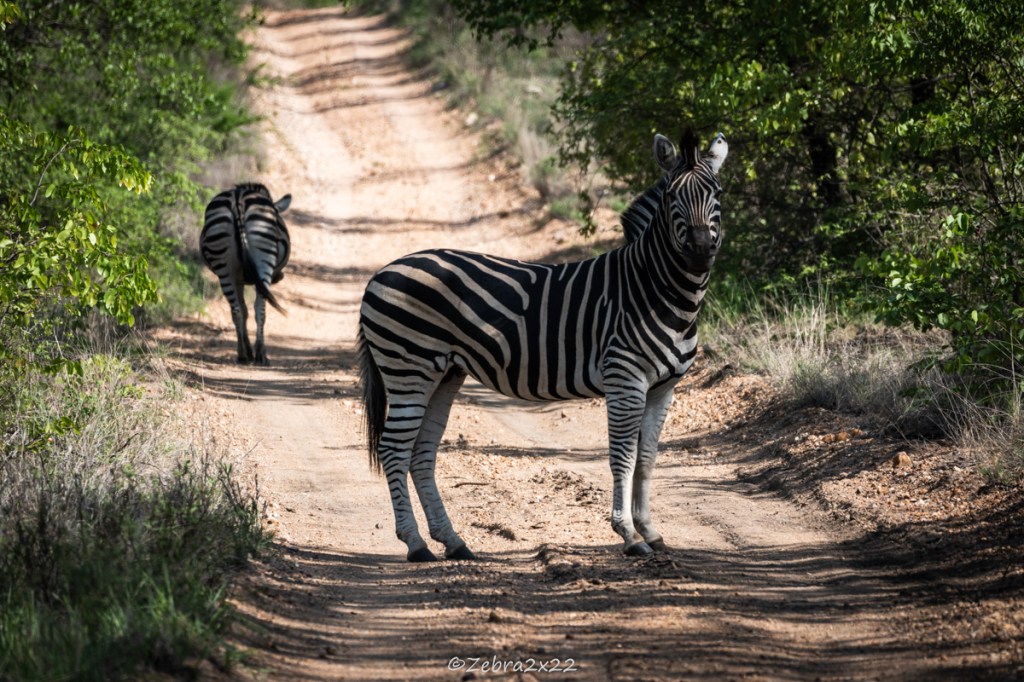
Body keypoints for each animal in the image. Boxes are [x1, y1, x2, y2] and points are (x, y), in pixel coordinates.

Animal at [200, 183, 292, 365]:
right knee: (260, 309)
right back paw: (261, 354)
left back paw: (242, 354)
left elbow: (243, 310)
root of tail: (238, 200)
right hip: (264, 261)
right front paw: (255, 351)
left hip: (224, 267)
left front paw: (248, 349)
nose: (279, 277)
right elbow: (253, 310)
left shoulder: (238, 280)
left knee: (236, 311)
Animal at [357, 129, 728, 561]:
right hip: (408, 368)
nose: (700, 252)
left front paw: (650, 531)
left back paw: (452, 541)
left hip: (444, 372)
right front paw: (628, 535)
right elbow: (623, 457)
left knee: (421, 453)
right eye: (671, 196)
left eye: (717, 192)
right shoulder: (625, 381)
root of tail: (381, 272)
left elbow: (648, 459)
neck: (656, 291)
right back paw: (416, 544)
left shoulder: (663, 388)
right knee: (393, 450)